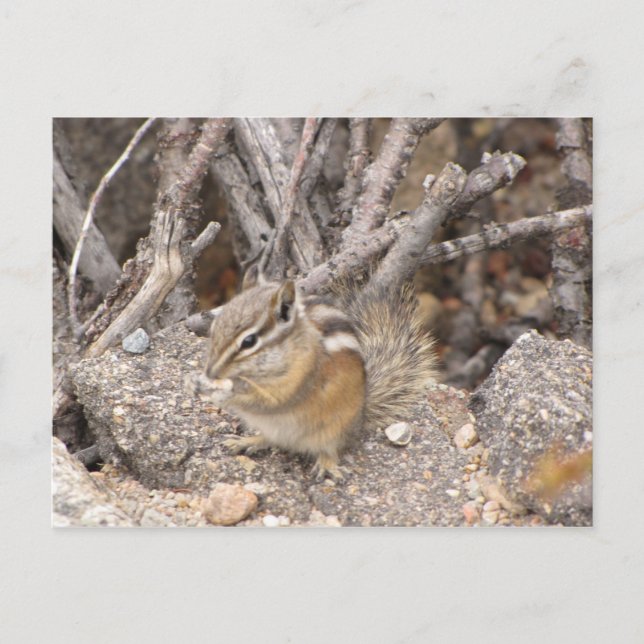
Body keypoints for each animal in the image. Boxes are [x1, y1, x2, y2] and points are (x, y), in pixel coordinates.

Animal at [185, 268, 436, 480]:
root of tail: (361, 417)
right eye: (215, 326)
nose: (211, 371)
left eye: (249, 341)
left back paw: (326, 465)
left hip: (333, 429)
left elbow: (268, 401)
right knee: (272, 439)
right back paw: (246, 441)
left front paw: (220, 393)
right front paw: (198, 383)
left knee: (330, 449)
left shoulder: (297, 382)